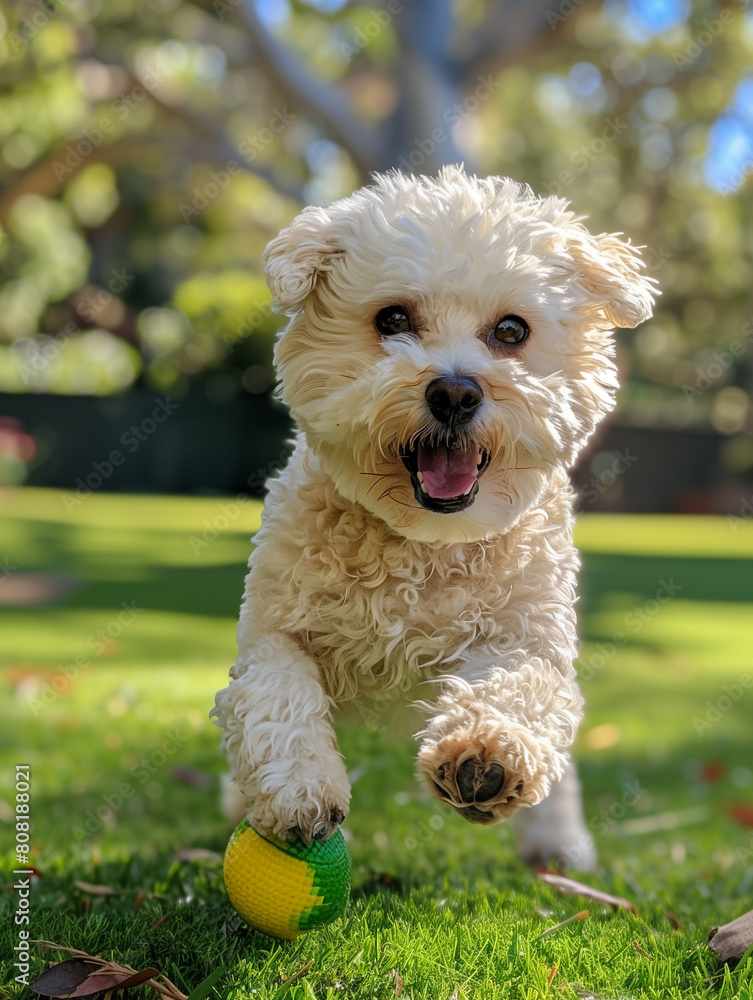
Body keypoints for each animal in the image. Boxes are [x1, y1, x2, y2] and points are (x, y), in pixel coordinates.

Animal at [210, 166, 652, 868]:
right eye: (393, 318)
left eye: (510, 331)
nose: (454, 391)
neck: (425, 545)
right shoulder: (276, 630)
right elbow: (276, 693)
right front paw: (300, 789)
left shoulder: (525, 635)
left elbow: (521, 688)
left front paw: (484, 757)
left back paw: (557, 843)